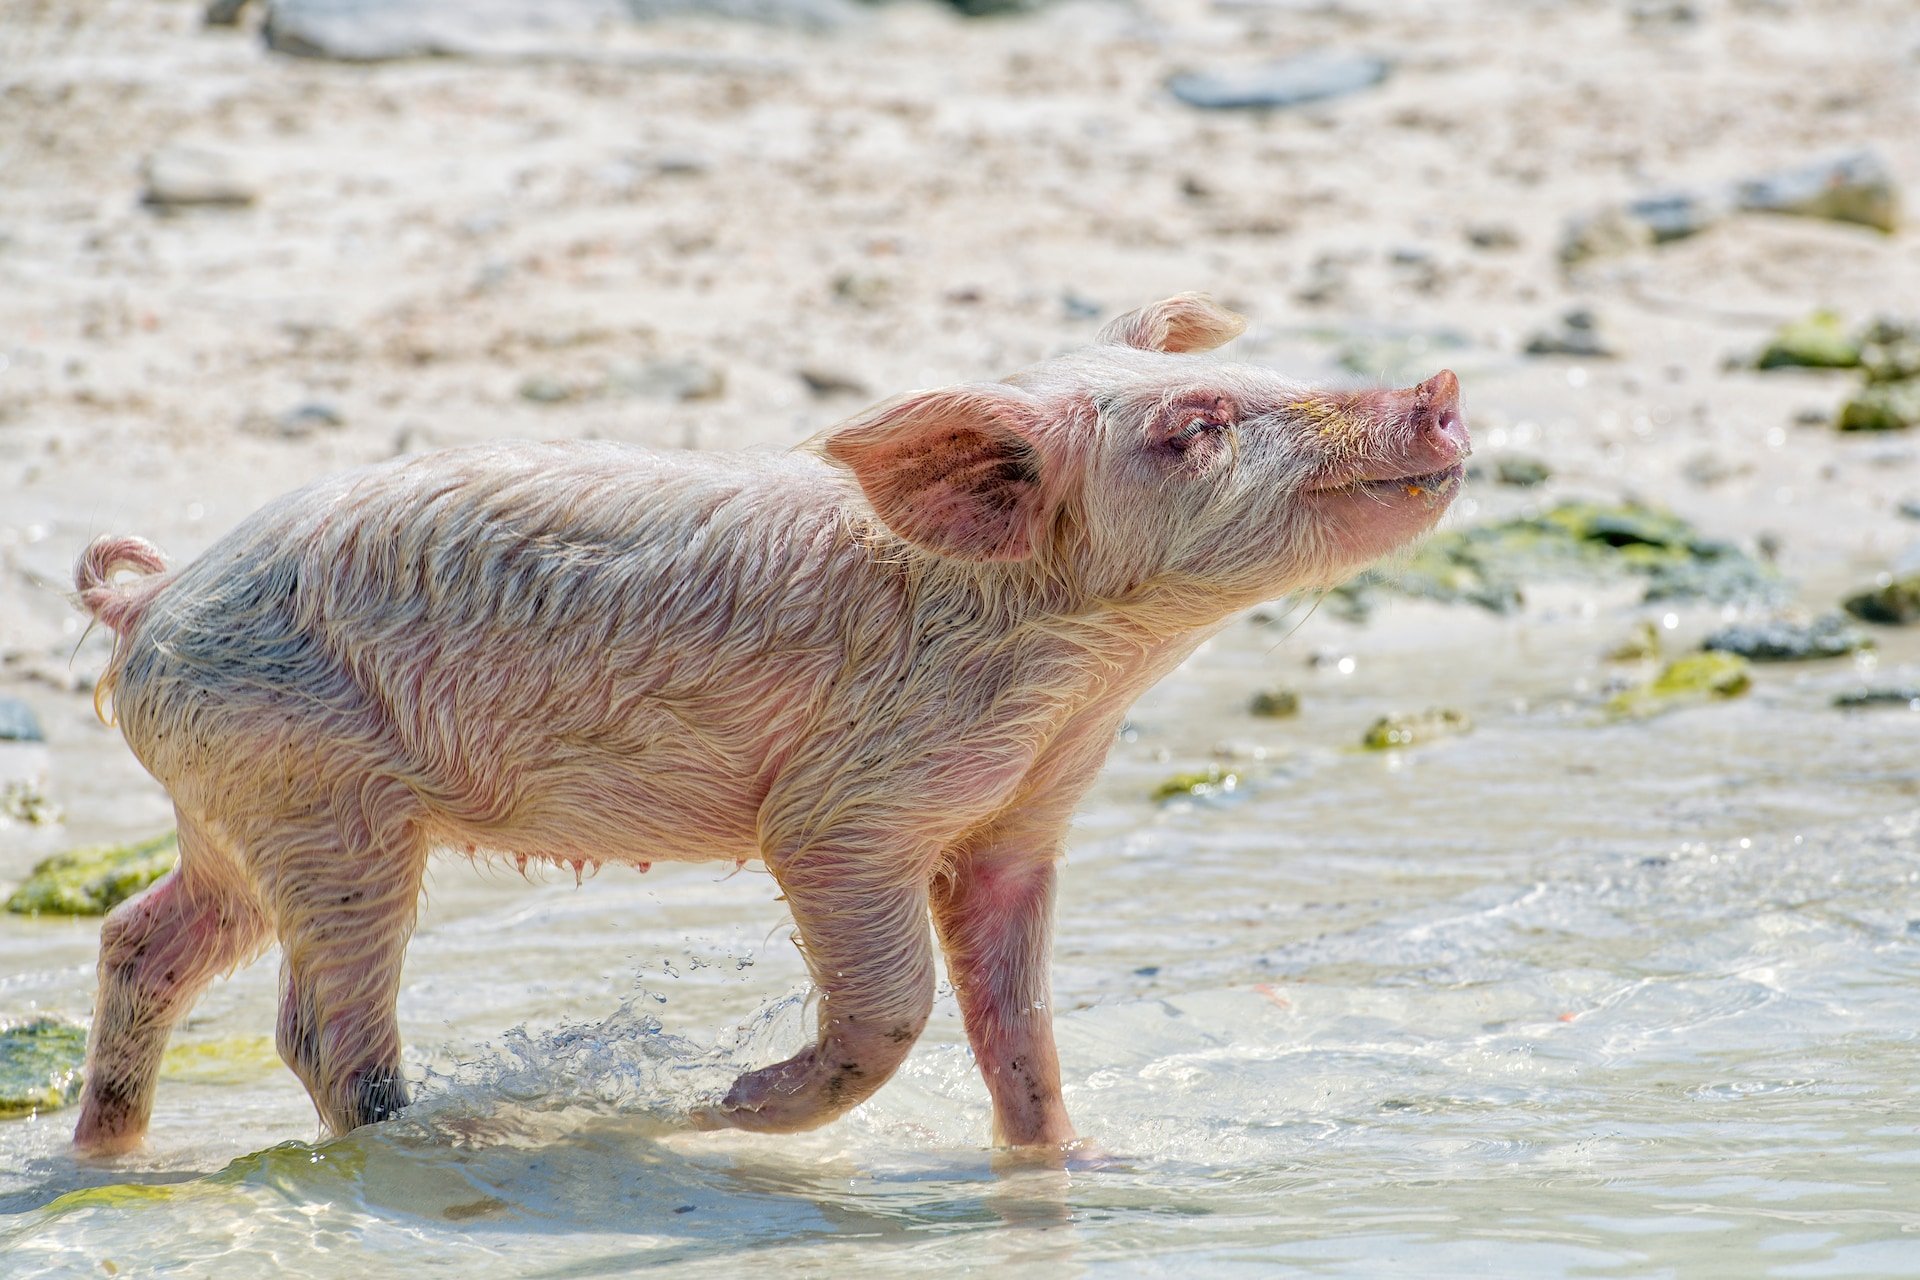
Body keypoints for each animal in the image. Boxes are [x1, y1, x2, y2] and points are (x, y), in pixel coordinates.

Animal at [63, 295, 1466, 1159]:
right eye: (1197, 426)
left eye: (1265, 375)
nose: (1442, 384)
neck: (1083, 672)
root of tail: (148, 600)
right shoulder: (849, 805)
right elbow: (895, 997)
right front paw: (720, 1108)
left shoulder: (1020, 816)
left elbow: (1019, 1017)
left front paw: (1072, 1164)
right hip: (319, 794)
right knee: (315, 1027)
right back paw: (442, 1145)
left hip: (235, 800)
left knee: (143, 936)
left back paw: (105, 1153)